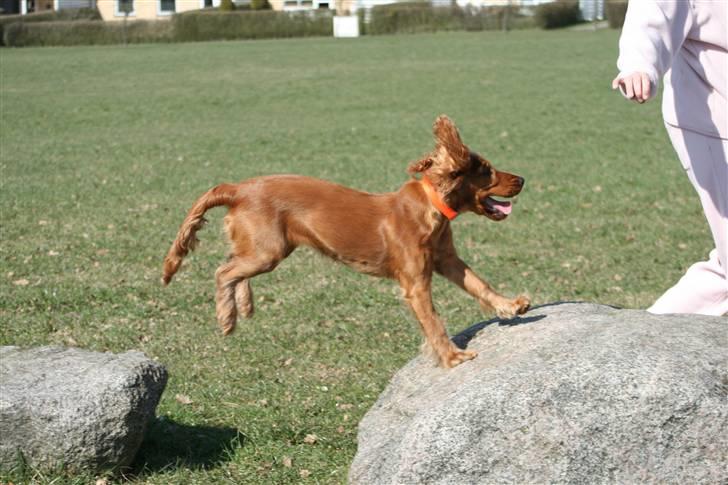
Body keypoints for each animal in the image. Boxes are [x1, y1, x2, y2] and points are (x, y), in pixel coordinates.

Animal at [164, 116, 528, 366]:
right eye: (487, 171)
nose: (523, 179)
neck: (430, 206)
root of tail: (238, 188)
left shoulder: (447, 260)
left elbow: (479, 284)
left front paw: (511, 305)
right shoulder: (416, 283)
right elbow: (434, 321)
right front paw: (452, 357)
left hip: (262, 249)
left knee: (233, 266)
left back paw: (243, 305)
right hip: (267, 251)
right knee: (223, 272)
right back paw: (227, 317)